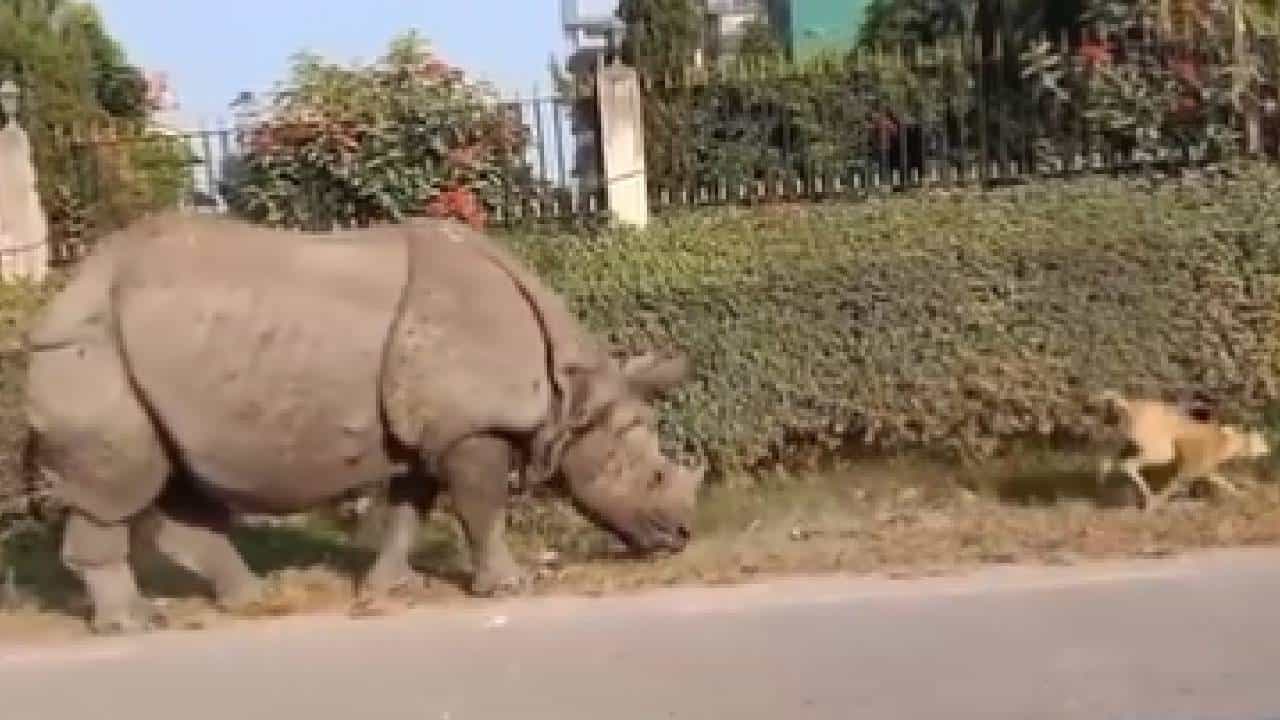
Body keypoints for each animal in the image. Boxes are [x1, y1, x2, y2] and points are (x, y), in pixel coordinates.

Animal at [24, 213, 703, 633]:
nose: (682, 535)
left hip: (145, 362)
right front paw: (511, 588)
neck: (570, 395)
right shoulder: (468, 427)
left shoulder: (428, 432)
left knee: (170, 479)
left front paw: (390, 591)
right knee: (117, 489)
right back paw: (137, 623)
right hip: (92, 351)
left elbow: (410, 508)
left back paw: (252, 599)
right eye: (646, 475)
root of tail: (63, 294)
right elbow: (481, 507)